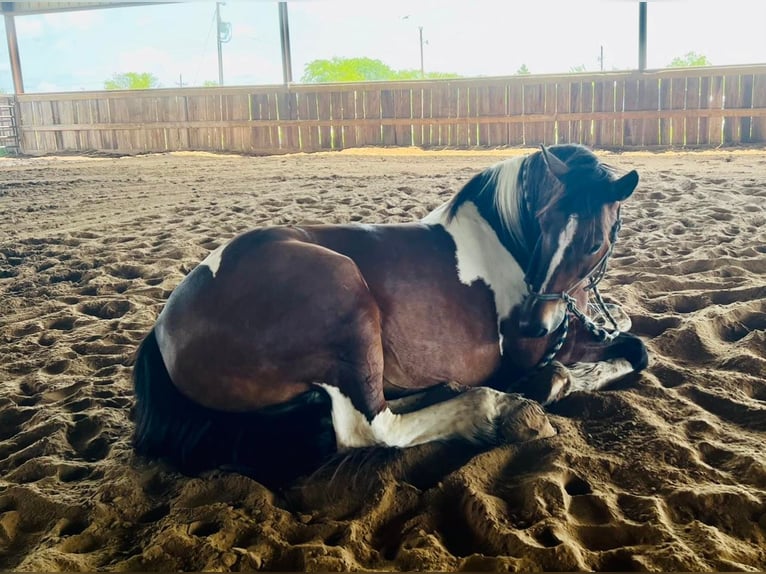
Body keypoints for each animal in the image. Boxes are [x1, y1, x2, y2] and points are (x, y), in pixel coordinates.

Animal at [132, 144, 648, 486]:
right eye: (543, 223)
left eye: (592, 241)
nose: (532, 323)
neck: (508, 241)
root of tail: (163, 329)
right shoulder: (539, 348)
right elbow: (617, 354)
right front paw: (553, 383)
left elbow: (631, 340)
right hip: (346, 296)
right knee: (370, 428)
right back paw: (499, 409)